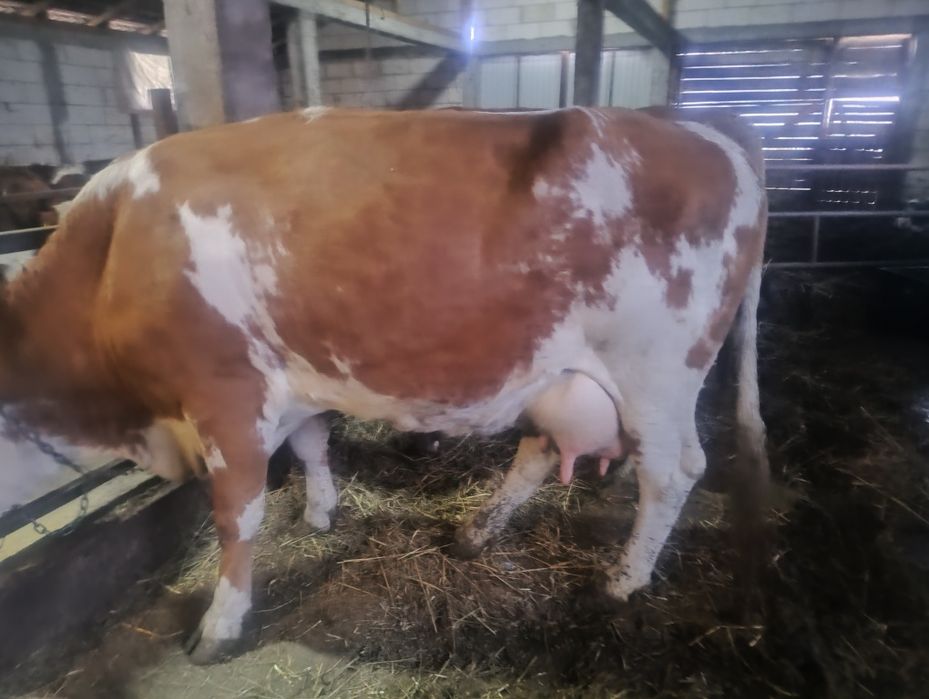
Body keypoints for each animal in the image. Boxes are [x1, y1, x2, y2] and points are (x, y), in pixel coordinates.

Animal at [0, 105, 768, 664]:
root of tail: (703, 128)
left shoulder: (225, 395)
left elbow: (236, 517)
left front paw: (221, 622)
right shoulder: (296, 377)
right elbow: (312, 445)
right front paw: (320, 513)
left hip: (656, 373)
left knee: (672, 472)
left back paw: (621, 581)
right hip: (562, 373)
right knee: (544, 448)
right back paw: (476, 533)